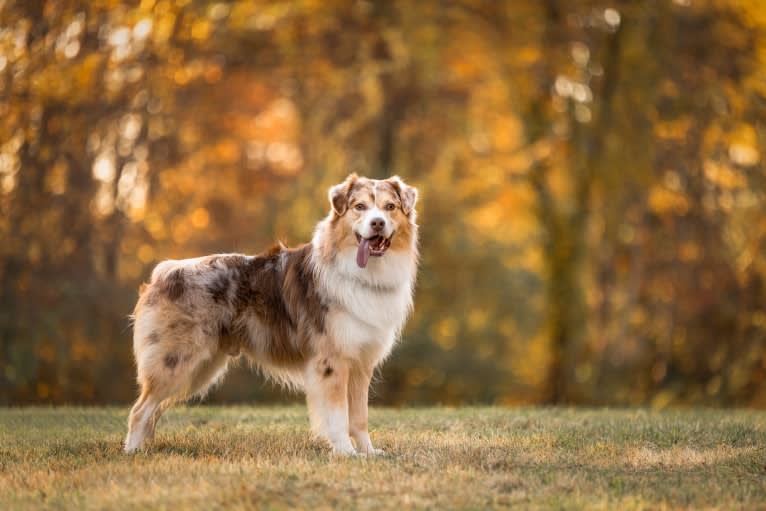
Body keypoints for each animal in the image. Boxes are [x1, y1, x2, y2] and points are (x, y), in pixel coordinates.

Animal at [124, 175, 420, 456]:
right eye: (360, 207)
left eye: (390, 207)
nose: (378, 223)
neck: (363, 273)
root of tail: (163, 273)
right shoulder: (332, 362)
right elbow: (337, 416)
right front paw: (345, 452)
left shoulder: (360, 363)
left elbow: (359, 417)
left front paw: (368, 452)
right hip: (176, 362)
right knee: (139, 410)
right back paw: (132, 452)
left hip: (199, 368)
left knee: (151, 411)